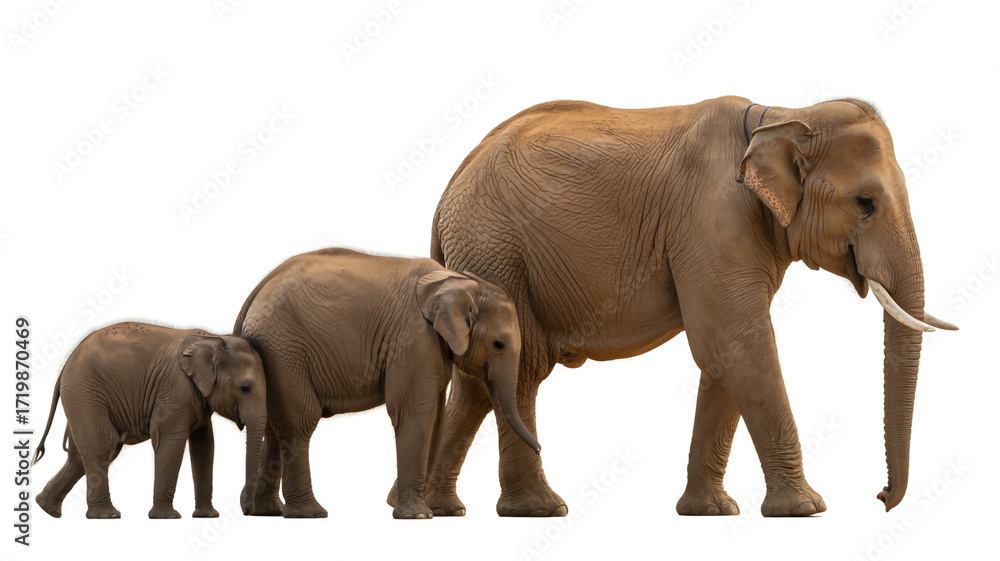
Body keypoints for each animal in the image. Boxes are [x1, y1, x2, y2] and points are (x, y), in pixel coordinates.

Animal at [33, 322, 267, 519]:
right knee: (103, 445)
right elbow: (170, 440)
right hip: (85, 392)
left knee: (79, 457)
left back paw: (46, 508)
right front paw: (167, 517)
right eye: (245, 389)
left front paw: (207, 516)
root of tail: (65, 365)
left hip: (81, 396)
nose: (246, 510)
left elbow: (204, 446)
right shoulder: (175, 388)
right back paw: (107, 516)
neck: (213, 339)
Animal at [233, 248, 538, 519]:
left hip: (273, 354)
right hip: (285, 350)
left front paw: (436, 513)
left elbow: (437, 419)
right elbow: (415, 413)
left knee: (274, 425)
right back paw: (310, 514)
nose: (540, 448)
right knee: (299, 423)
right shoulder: (413, 337)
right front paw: (418, 516)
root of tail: (256, 291)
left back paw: (265, 512)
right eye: (498, 345)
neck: (459, 280)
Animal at [424, 96, 958, 517]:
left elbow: (725, 353)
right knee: (522, 366)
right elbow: (736, 341)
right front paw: (805, 510)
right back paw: (538, 509)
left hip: (483, 255)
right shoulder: (712, 219)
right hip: (496, 250)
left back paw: (442, 509)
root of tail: (448, 189)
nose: (880, 497)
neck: (780, 115)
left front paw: (711, 512)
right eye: (865, 203)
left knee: (478, 380)